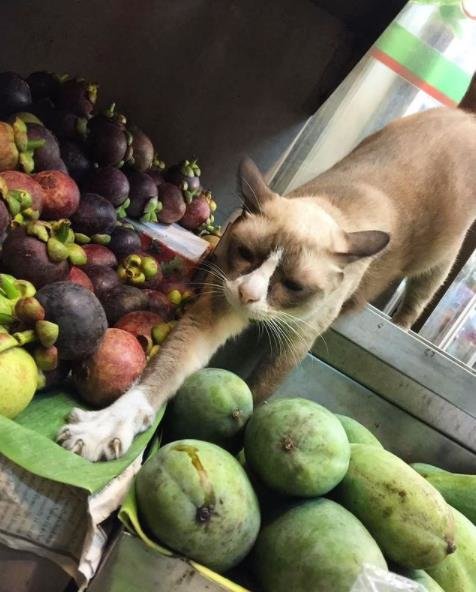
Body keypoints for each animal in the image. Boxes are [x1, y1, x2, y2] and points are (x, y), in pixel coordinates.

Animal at [58, 75, 476, 462]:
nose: (248, 295)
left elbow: (257, 396)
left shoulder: (296, 343)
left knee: (418, 295)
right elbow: (160, 375)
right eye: (246, 254)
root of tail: (463, 117)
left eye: (293, 286)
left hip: (439, 259)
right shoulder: (217, 305)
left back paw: (400, 324)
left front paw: (242, 452)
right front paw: (100, 430)